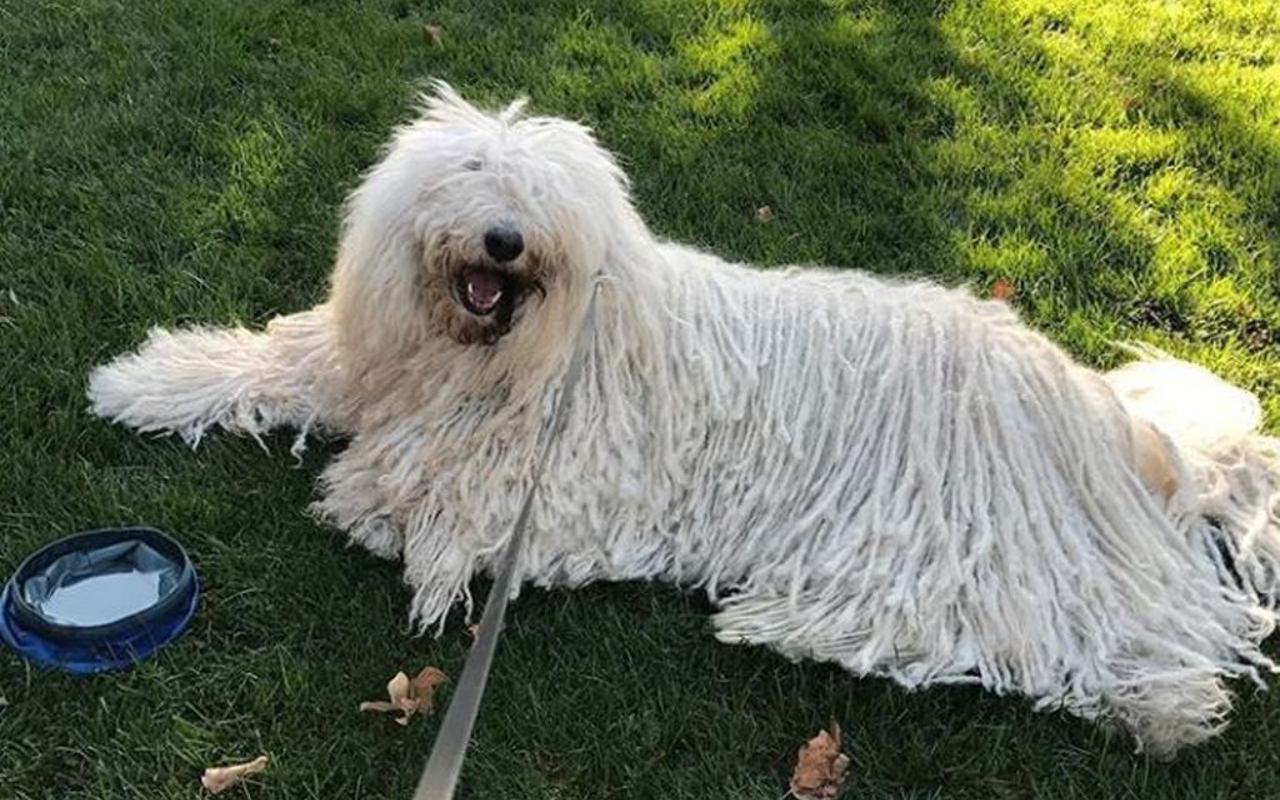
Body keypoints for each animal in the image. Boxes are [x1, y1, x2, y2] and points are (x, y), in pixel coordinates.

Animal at [90, 85, 1280, 752]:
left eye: (542, 203)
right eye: (470, 173)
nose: (504, 240)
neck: (514, 347)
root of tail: (1101, 419)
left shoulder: (549, 487)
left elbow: (412, 501)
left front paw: (381, 508)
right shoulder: (373, 360)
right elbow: (276, 359)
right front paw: (139, 379)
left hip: (976, 542)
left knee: (1051, 632)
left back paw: (1157, 711)